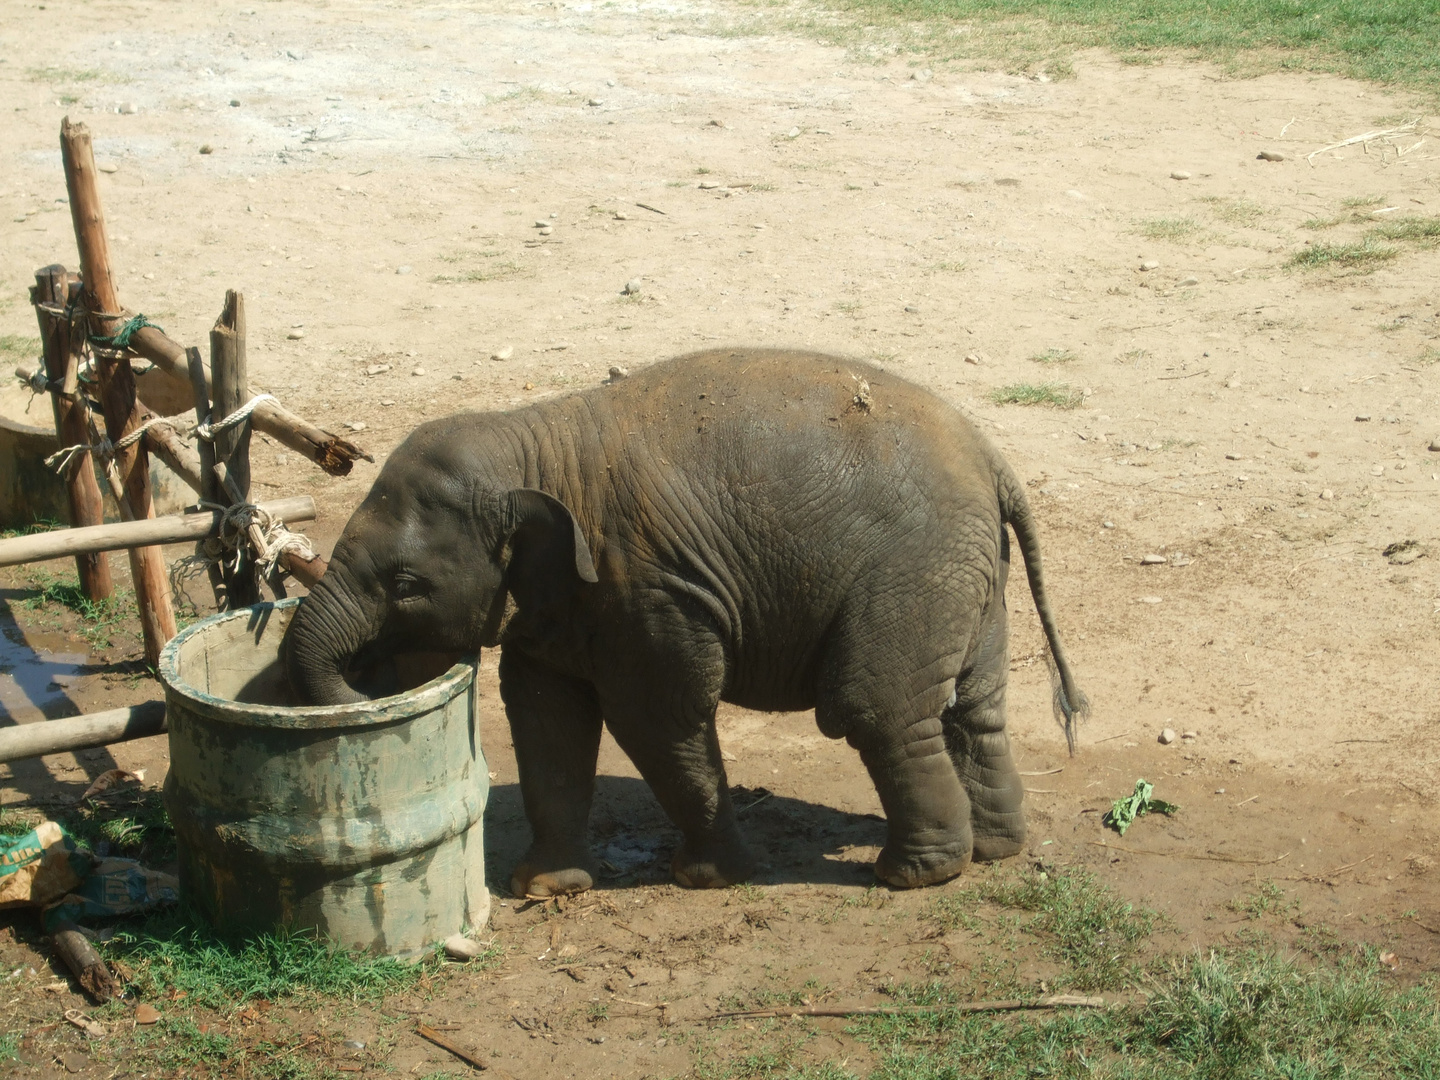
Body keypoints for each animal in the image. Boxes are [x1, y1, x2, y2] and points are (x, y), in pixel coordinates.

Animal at [286, 348, 1082, 898]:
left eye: (405, 584)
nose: (367, 688)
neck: (537, 440)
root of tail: (992, 460)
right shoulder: (560, 604)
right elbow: (545, 718)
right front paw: (544, 890)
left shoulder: (649, 589)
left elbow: (658, 720)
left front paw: (706, 878)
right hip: (969, 574)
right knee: (974, 707)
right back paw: (995, 849)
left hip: (914, 570)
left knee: (873, 708)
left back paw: (914, 874)